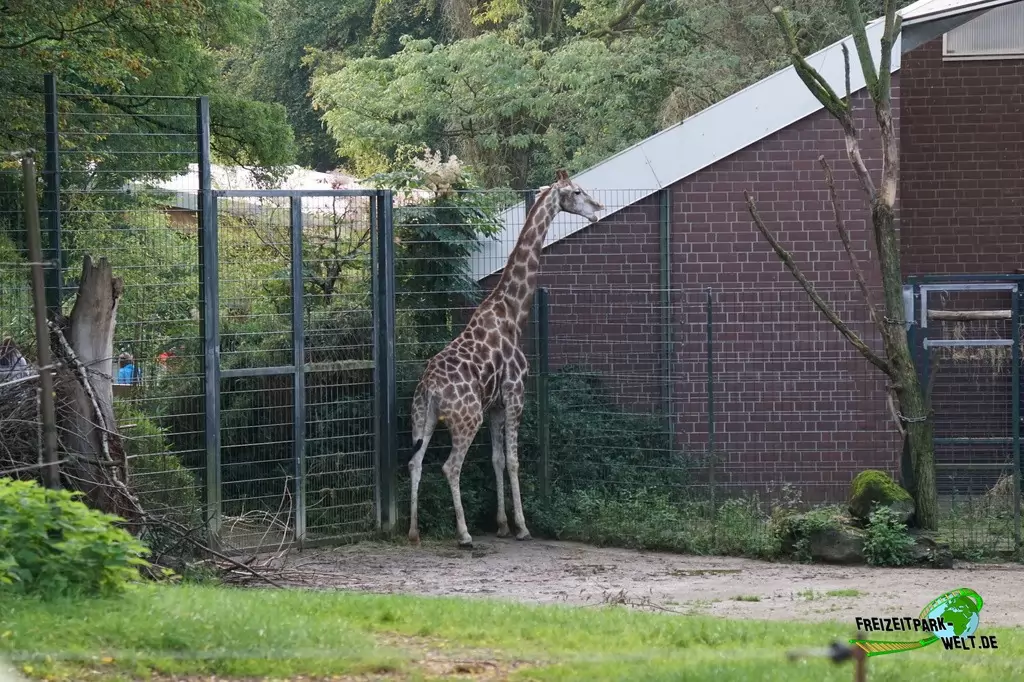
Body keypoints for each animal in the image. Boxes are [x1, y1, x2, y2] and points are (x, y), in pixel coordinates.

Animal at [406, 170, 604, 548]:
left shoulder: (495, 406)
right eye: (576, 192)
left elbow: (497, 460)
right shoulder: (515, 395)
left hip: (423, 418)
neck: (513, 312)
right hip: (466, 418)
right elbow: (513, 461)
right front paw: (522, 527)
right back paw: (464, 534)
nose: (597, 210)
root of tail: (429, 387)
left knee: (415, 462)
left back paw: (412, 532)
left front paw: (501, 524)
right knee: (450, 467)